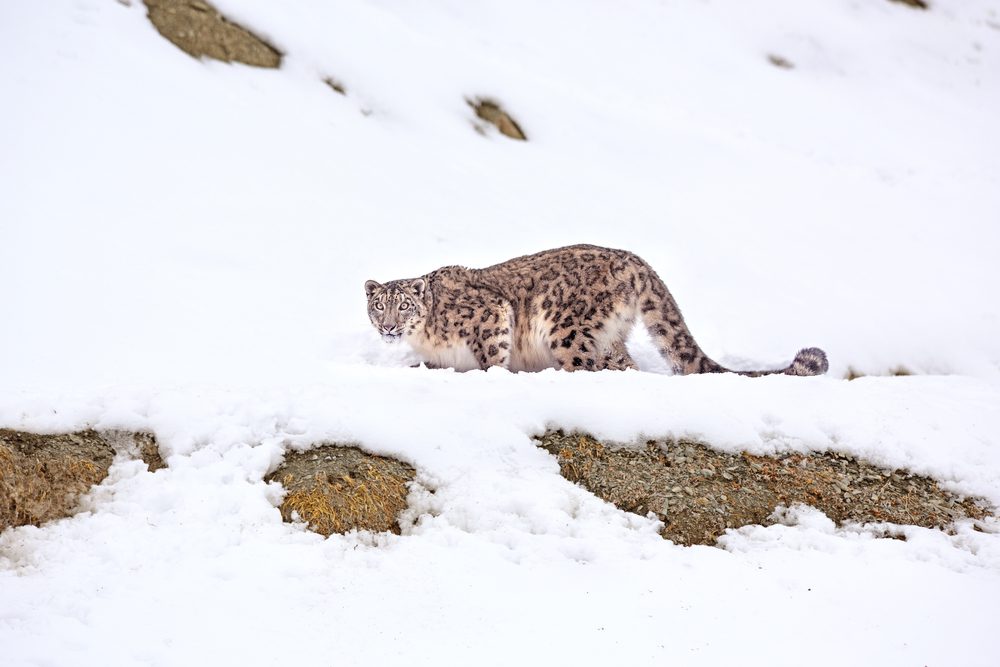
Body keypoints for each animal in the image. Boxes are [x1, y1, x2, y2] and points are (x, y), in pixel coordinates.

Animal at [364, 244, 828, 376]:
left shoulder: (490, 317)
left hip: (567, 329)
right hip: (608, 338)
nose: (387, 328)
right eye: (378, 307)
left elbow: (492, 357)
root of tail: (634, 260)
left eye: (404, 305)